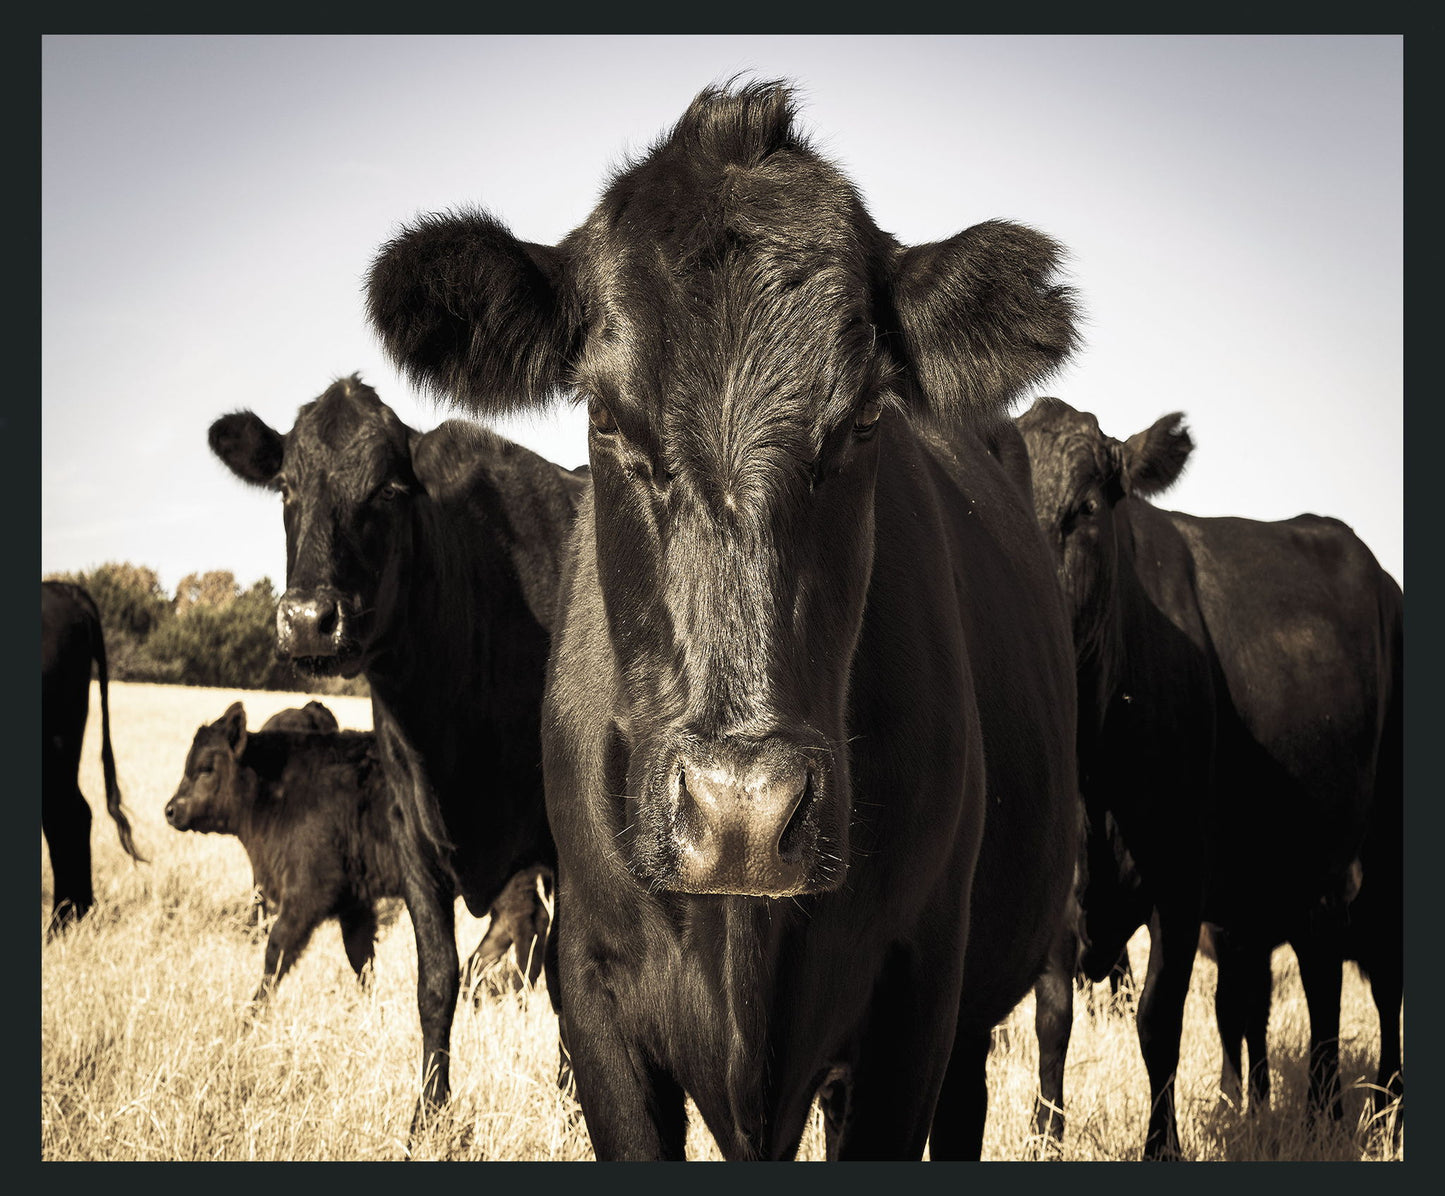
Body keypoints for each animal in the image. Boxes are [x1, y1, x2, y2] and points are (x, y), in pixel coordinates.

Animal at [208, 378, 585, 1136]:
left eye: (386, 489)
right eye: (286, 486)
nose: (308, 621)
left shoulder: (562, 850)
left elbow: (566, 981)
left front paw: (572, 1108)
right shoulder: (412, 839)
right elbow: (435, 981)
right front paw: (428, 1115)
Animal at [1016, 396, 1403, 1158]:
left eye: (1085, 510)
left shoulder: (1179, 877)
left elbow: (1158, 1019)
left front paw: (1161, 1145)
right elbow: (1053, 1017)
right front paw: (1045, 1136)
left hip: (1386, 848)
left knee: (1382, 982)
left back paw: (1385, 1109)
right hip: (1298, 873)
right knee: (1312, 977)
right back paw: (1318, 1112)